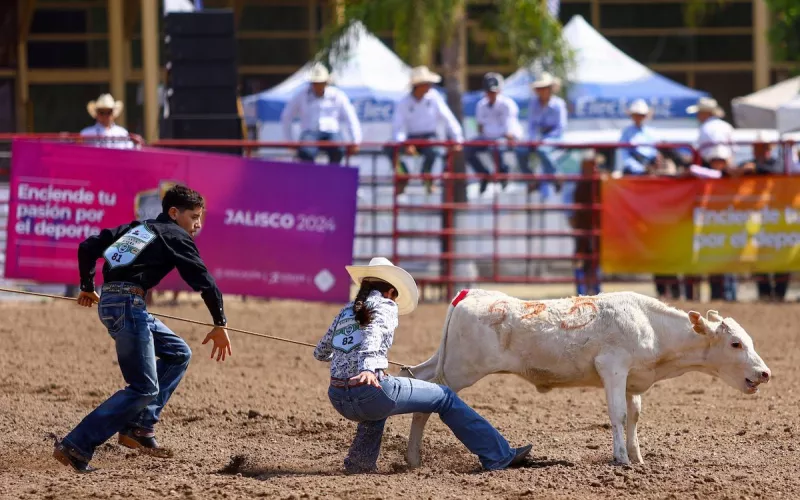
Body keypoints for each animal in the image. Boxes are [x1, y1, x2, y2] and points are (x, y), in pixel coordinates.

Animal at [404, 290, 772, 464]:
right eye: (736, 343)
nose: (765, 373)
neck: (654, 327)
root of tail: (469, 294)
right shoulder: (613, 368)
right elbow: (618, 414)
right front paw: (621, 459)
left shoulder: (633, 379)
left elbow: (634, 415)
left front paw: (637, 456)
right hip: (460, 369)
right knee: (429, 398)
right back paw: (413, 458)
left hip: (448, 361)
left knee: (418, 377)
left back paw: (411, 457)